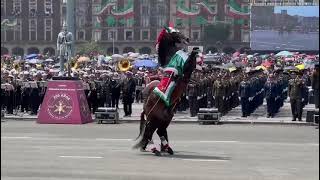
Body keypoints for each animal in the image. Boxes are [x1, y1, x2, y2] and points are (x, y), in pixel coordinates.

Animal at [132, 26, 198, 155]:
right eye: (175, 32)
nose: (187, 38)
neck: (171, 56)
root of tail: (145, 107)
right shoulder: (185, 72)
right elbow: (189, 63)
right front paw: (194, 51)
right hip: (153, 118)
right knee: (150, 131)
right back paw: (155, 149)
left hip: (164, 119)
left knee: (159, 131)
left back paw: (167, 148)